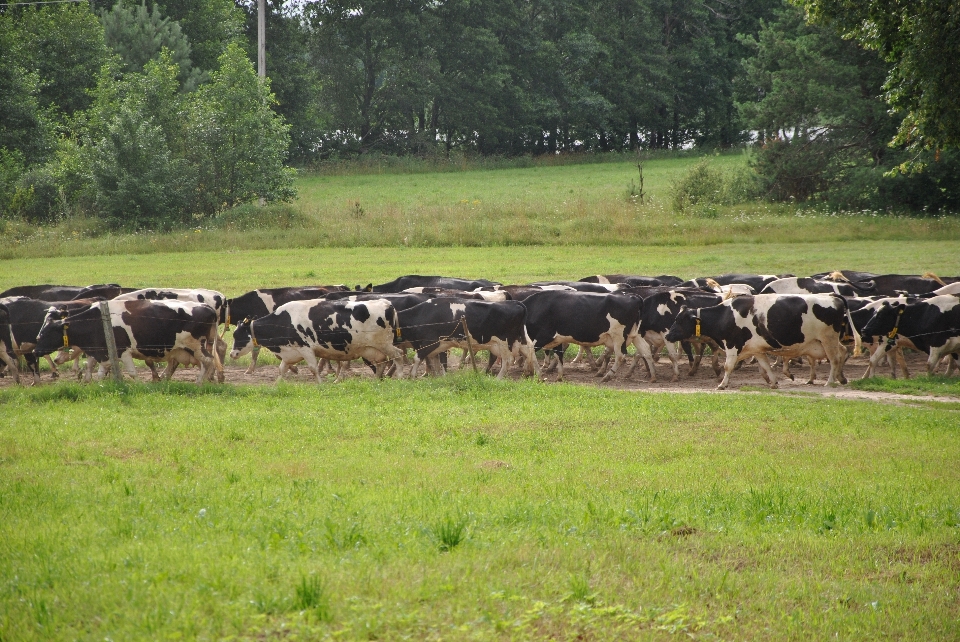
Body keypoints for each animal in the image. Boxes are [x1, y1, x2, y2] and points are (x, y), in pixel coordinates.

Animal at [34, 298, 221, 382]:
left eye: (48, 332)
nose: (35, 350)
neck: (96, 320)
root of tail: (206, 307)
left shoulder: (123, 351)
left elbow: (132, 372)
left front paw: (138, 385)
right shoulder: (103, 353)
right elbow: (100, 372)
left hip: (196, 346)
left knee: (207, 361)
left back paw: (200, 382)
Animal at [231, 298, 404, 382]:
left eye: (238, 336)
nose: (232, 354)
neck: (285, 321)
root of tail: (385, 303)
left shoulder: (306, 349)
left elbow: (313, 368)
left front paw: (321, 384)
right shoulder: (289, 352)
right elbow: (281, 369)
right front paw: (276, 385)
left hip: (385, 344)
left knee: (398, 355)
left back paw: (401, 377)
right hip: (370, 349)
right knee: (381, 362)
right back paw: (376, 380)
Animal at [394, 298, 536, 378]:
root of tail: (515, 303)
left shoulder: (430, 343)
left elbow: (418, 359)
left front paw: (412, 376)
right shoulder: (438, 346)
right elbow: (437, 362)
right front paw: (440, 377)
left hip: (504, 342)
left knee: (508, 360)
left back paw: (498, 379)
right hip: (519, 339)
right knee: (529, 351)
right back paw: (534, 374)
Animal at [516, 292, 644, 382]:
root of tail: (633, 296)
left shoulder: (543, 337)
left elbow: (529, 353)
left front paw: (529, 373)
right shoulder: (557, 340)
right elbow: (559, 356)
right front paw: (559, 376)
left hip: (619, 337)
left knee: (620, 356)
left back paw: (607, 376)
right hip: (635, 336)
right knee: (642, 352)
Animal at [664, 292, 860, 388]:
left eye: (679, 320)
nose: (668, 335)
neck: (725, 315)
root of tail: (833, 297)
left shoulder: (732, 346)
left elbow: (728, 366)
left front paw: (722, 384)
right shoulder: (756, 350)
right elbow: (765, 366)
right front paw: (773, 382)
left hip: (828, 339)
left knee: (834, 359)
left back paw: (830, 381)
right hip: (827, 341)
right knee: (842, 353)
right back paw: (841, 378)